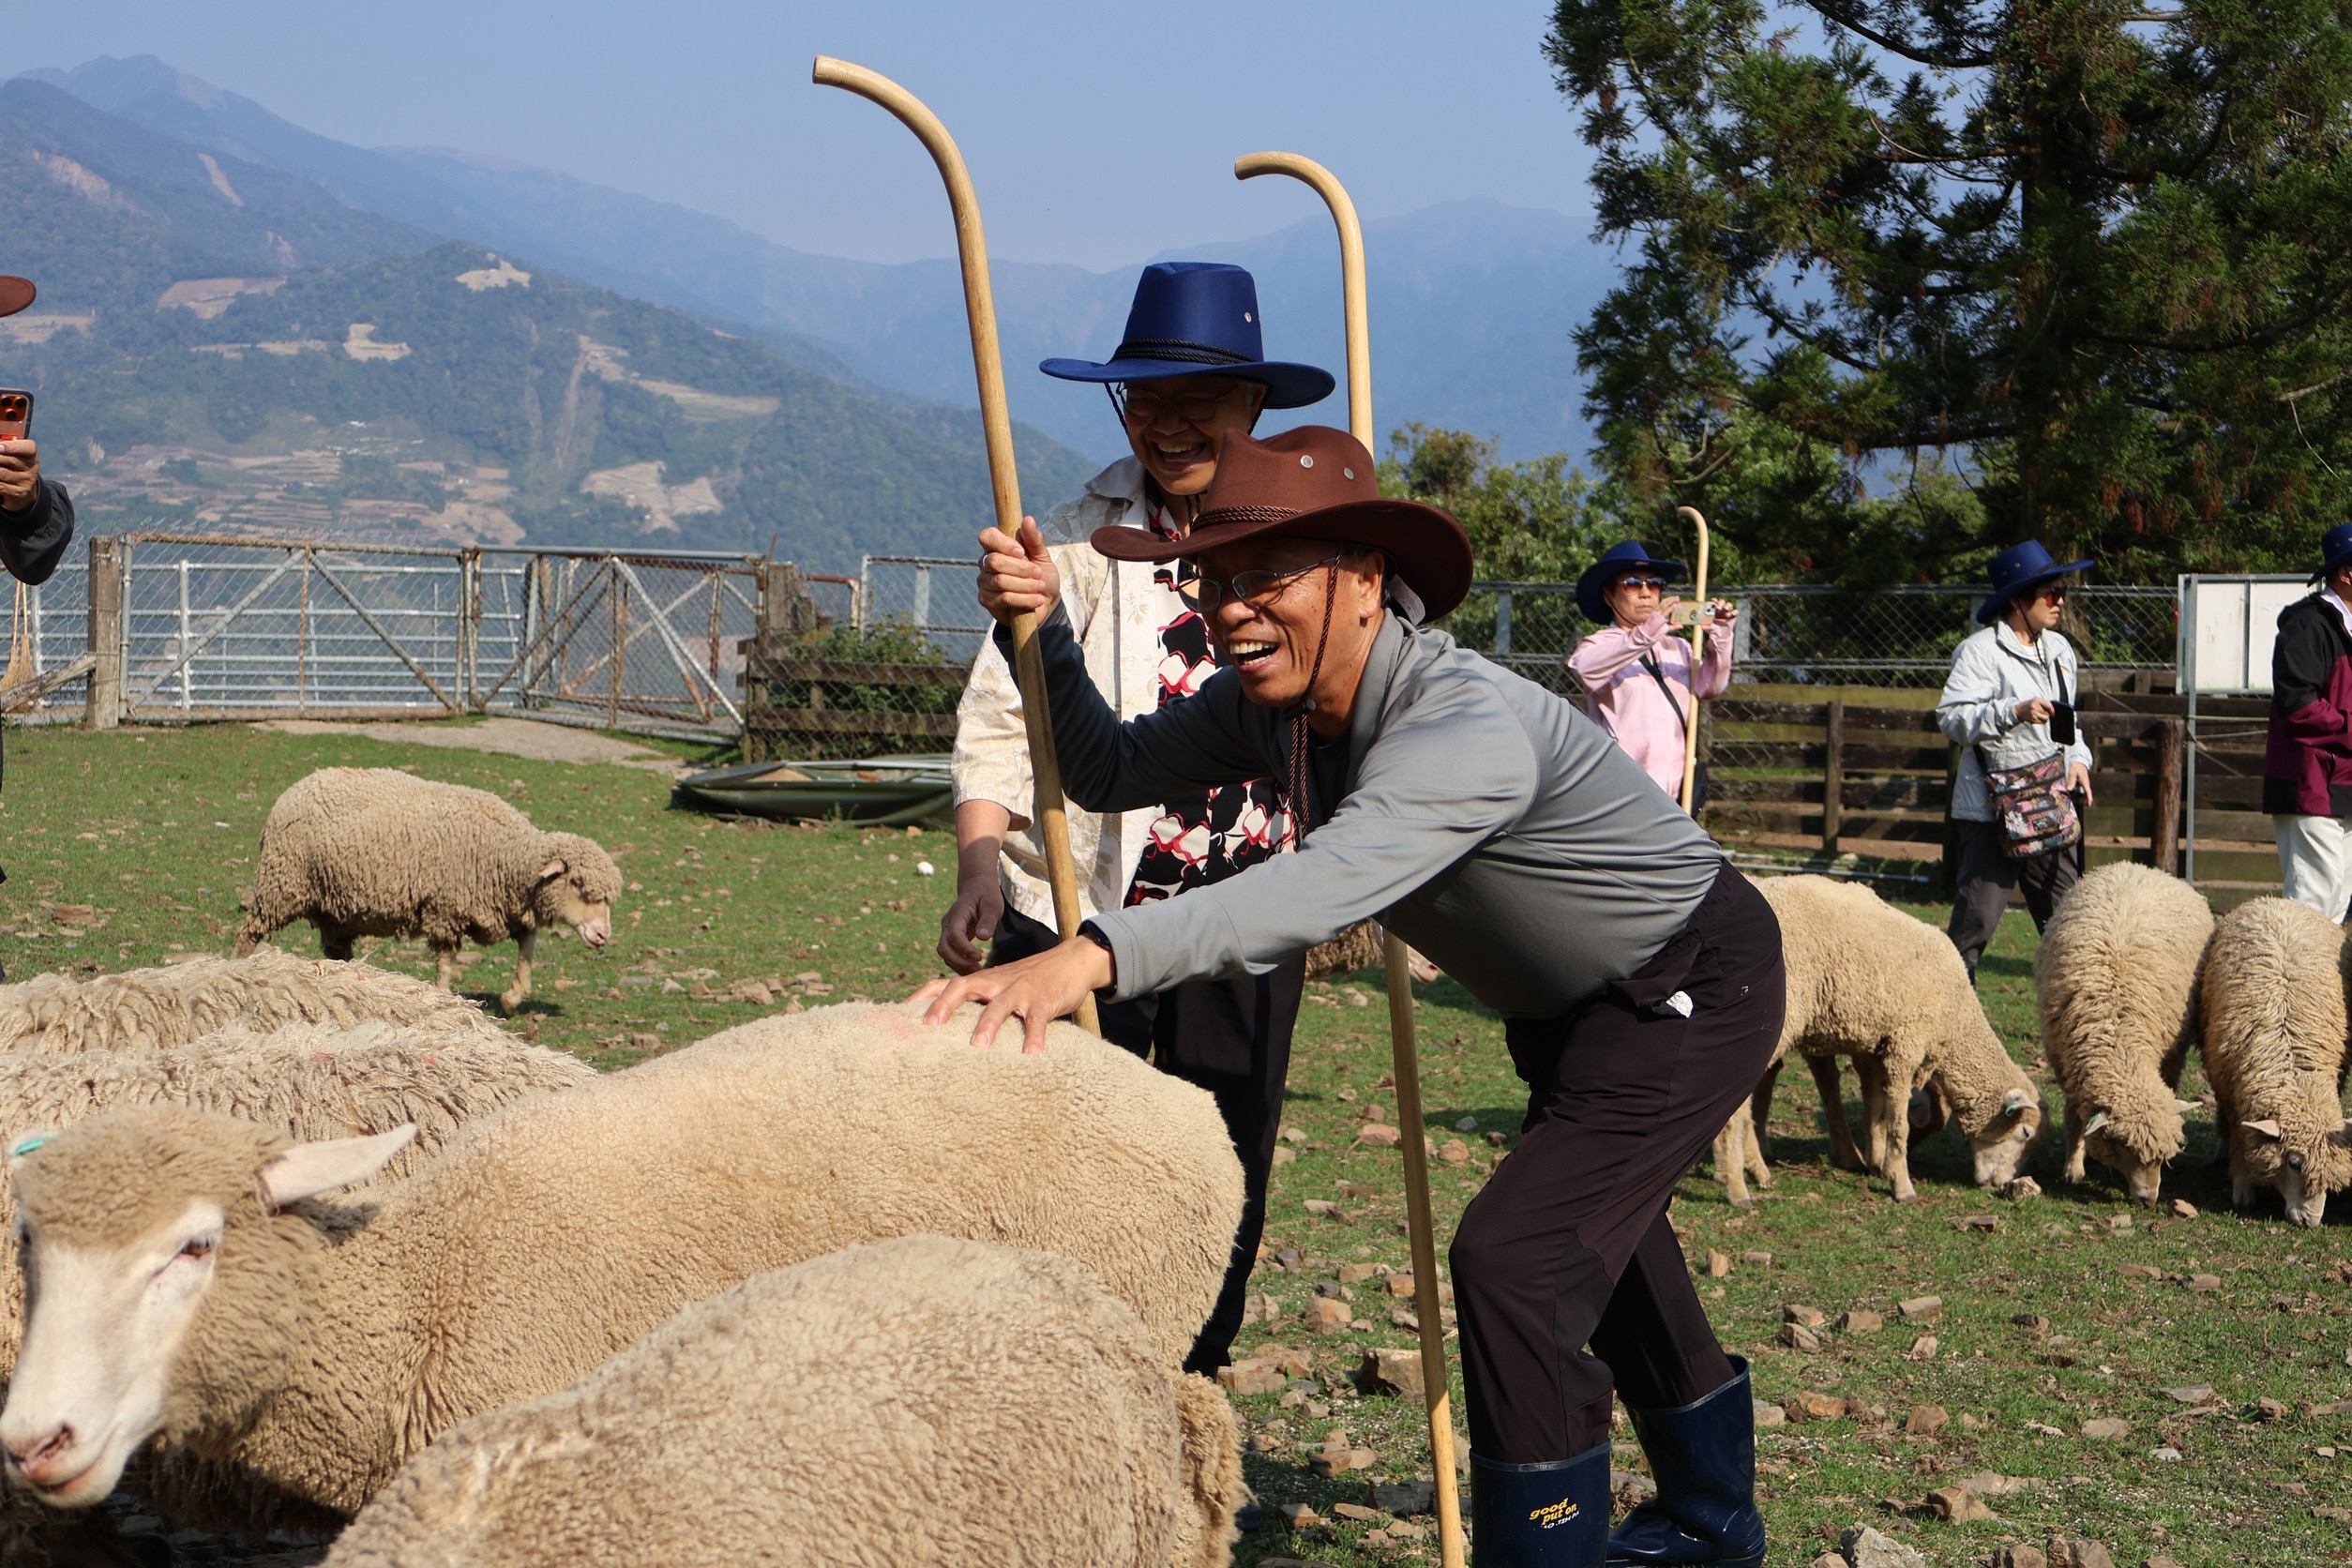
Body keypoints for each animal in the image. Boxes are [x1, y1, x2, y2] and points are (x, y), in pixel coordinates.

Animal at [232, 768, 621, 1013]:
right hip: (282, 885)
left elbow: (527, 946)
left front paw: (513, 997)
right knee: (248, 932)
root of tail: (295, 788)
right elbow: (446, 962)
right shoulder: (445, 908)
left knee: (335, 949)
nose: (604, 934)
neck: (506, 855)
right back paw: (236, 969)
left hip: (333, 907)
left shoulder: (510, 909)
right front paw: (444, 997)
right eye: (577, 883)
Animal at [1721, 875, 2043, 1203]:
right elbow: (1898, 1122)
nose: (2000, 1184)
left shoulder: (1874, 1046)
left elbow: (1876, 1109)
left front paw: (1878, 1162)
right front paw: (1900, 1182)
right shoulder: (1905, 1045)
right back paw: (1738, 1184)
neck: (1957, 1019)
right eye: (2024, 1134)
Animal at [2034, 863, 2213, 1205]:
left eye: (2162, 1157)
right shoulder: (2067, 1066)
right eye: (2124, 1146)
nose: (2149, 1200)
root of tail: (2140, 868)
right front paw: (2073, 1168)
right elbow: (2074, 1118)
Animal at [2196, 897, 2352, 1227]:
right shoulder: (2233, 1095)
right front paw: (2243, 1187)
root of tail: (2277, 899)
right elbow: (2240, 1137)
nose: (2311, 1222)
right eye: (2293, 1163)